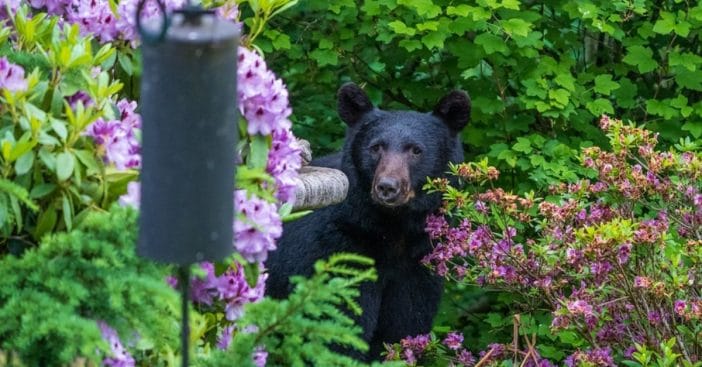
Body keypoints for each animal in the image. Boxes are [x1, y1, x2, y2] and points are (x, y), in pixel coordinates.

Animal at [266, 82, 470, 360]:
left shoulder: (418, 265)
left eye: (416, 150)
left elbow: (403, 328)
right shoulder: (338, 252)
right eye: (376, 147)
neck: (392, 229)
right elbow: (339, 329)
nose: (387, 187)